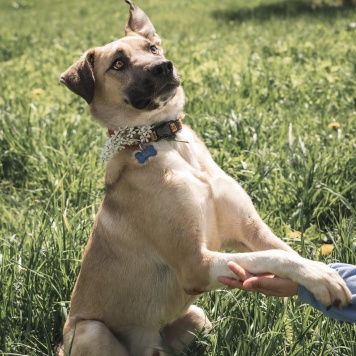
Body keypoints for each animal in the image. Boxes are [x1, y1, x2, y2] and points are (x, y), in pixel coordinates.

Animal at [58, 1, 350, 354]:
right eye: (118, 63)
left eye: (152, 48)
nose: (163, 67)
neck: (167, 140)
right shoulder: (195, 263)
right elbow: (273, 256)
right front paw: (322, 277)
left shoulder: (249, 230)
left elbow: (282, 251)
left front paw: (320, 274)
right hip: (93, 331)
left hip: (198, 318)